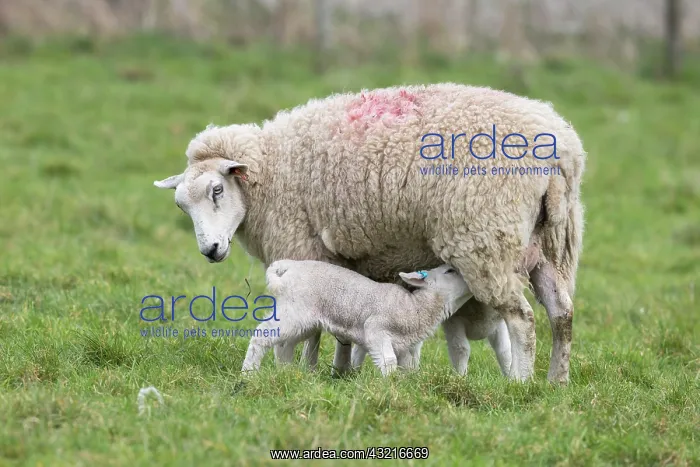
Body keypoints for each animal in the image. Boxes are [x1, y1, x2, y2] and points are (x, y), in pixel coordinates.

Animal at [241, 261, 473, 376]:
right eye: (450, 271)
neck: (415, 307)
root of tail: (289, 267)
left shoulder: (405, 347)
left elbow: (408, 366)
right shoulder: (376, 328)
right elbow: (389, 361)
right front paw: (390, 386)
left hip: (303, 320)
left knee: (284, 344)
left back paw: (287, 373)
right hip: (294, 310)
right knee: (262, 336)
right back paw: (249, 373)